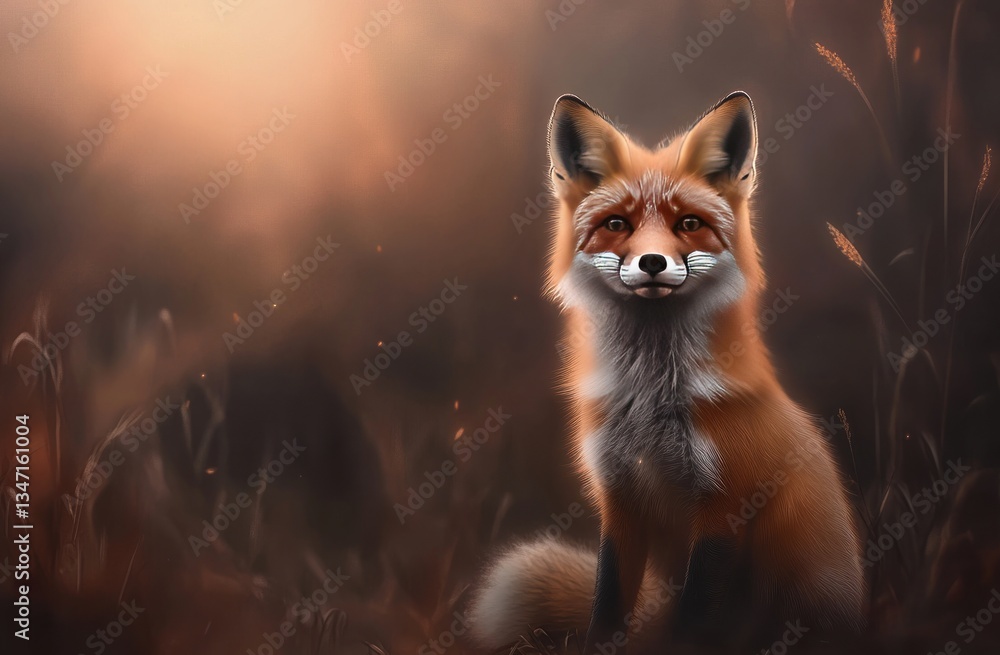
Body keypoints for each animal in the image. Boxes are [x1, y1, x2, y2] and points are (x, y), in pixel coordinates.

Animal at [468, 92, 866, 653]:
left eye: (689, 223)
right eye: (617, 224)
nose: (652, 262)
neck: (651, 401)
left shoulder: (724, 506)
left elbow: (695, 617)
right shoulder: (619, 499)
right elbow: (608, 603)